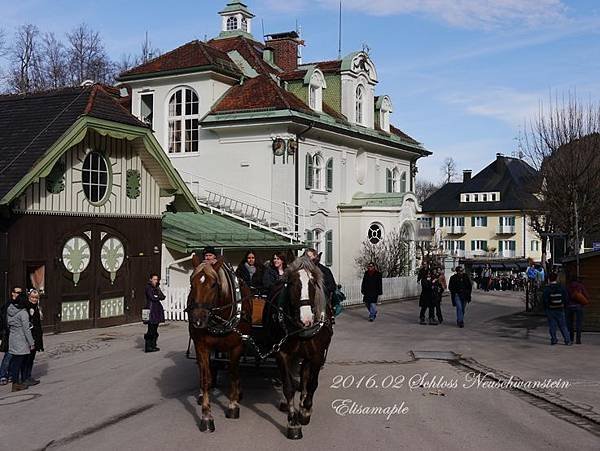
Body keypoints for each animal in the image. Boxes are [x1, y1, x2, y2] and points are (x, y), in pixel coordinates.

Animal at [188, 256, 253, 432]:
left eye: (213, 284)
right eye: (191, 283)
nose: (198, 320)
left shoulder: (237, 346)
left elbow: (233, 373)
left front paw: (233, 405)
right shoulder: (201, 346)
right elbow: (206, 378)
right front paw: (206, 417)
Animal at [274, 256, 336, 440]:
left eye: (313, 282)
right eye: (292, 283)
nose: (307, 320)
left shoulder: (317, 355)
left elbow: (312, 384)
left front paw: (305, 411)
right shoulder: (282, 354)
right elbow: (288, 387)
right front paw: (293, 422)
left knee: (304, 377)